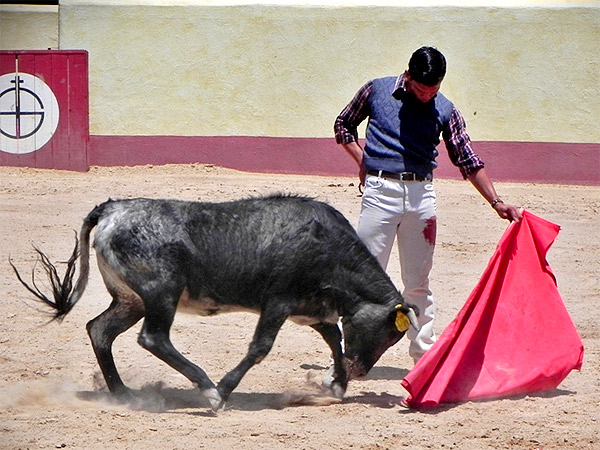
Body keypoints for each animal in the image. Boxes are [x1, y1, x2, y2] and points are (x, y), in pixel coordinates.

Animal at [12, 194, 418, 412]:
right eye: (387, 332)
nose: (360, 371)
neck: (329, 249)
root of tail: (113, 209)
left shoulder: (311, 309)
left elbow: (334, 339)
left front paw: (336, 385)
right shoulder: (279, 302)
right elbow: (260, 347)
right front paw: (223, 389)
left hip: (131, 300)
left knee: (99, 330)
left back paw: (125, 394)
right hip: (162, 292)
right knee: (153, 338)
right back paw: (208, 390)